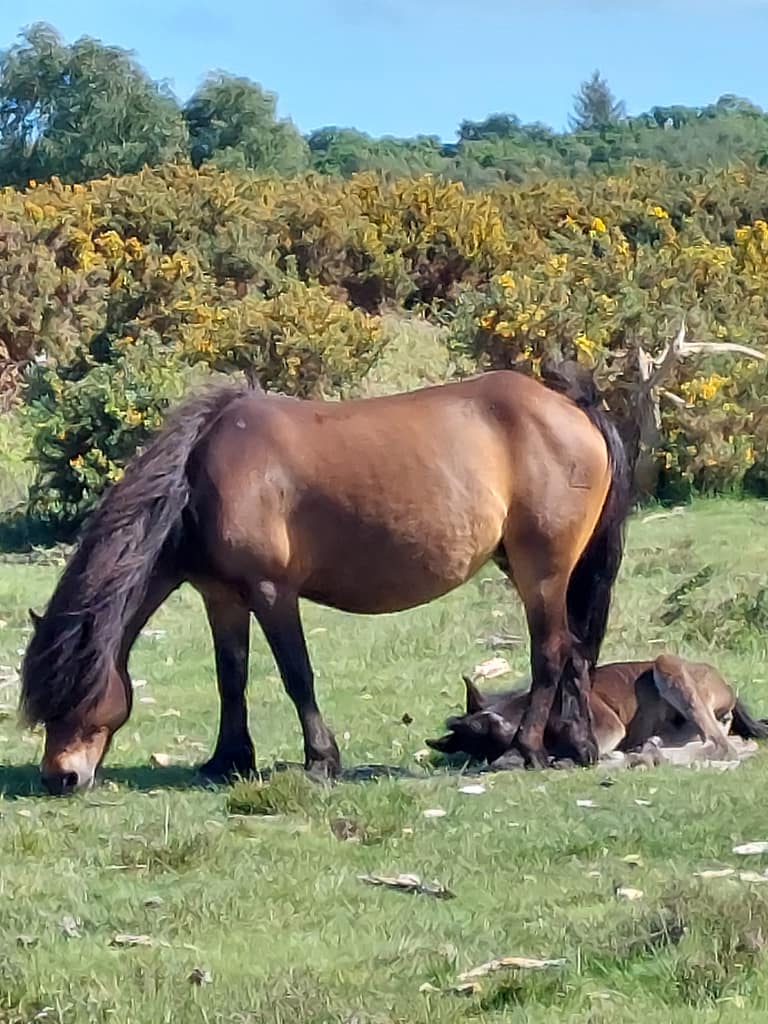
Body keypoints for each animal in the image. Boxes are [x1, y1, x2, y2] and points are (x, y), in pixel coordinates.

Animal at [20, 365, 631, 794]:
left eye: (72, 692)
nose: (59, 777)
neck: (201, 479)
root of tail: (573, 408)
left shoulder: (272, 593)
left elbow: (298, 676)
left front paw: (320, 760)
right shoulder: (221, 597)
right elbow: (230, 677)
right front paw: (227, 760)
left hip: (541, 571)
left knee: (551, 654)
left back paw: (522, 750)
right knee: (575, 654)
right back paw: (576, 746)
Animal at [426, 654, 768, 767]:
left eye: (490, 728)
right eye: (479, 749)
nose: (502, 764)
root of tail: (728, 689)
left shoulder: (606, 725)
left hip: (668, 663)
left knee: (721, 745)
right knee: (733, 743)